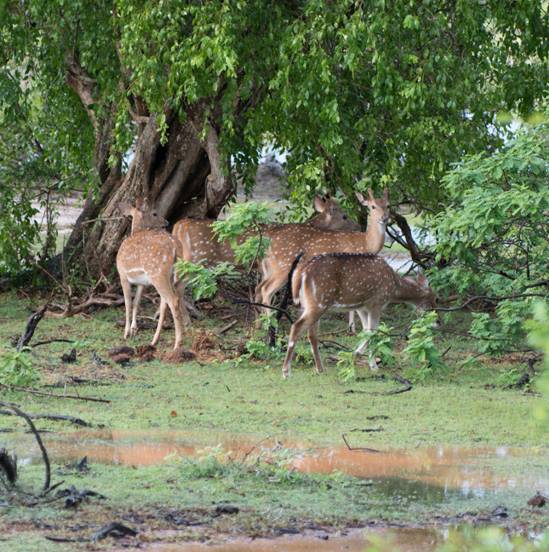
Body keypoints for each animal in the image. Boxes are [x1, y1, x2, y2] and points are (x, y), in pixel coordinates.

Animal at [115, 199, 188, 350]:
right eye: (154, 213)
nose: (166, 222)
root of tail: (175, 247)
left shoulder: (122, 274)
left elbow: (127, 303)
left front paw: (126, 333)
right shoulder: (142, 283)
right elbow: (136, 302)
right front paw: (133, 330)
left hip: (157, 272)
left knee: (172, 300)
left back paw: (177, 344)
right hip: (172, 274)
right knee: (168, 300)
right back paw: (155, 340)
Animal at [280, 252, 434, 378]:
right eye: (434, 299)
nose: (436, 321)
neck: (394, 289)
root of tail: (300, 274)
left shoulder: (361, 307)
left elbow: (366, 331)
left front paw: (360, 359)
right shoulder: (376, 303)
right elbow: (373, 333)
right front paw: (365, 361)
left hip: (309, 303)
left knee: (311, 335)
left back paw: (320, 369)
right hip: (318, 302)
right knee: (296, 326)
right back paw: (286, 372)